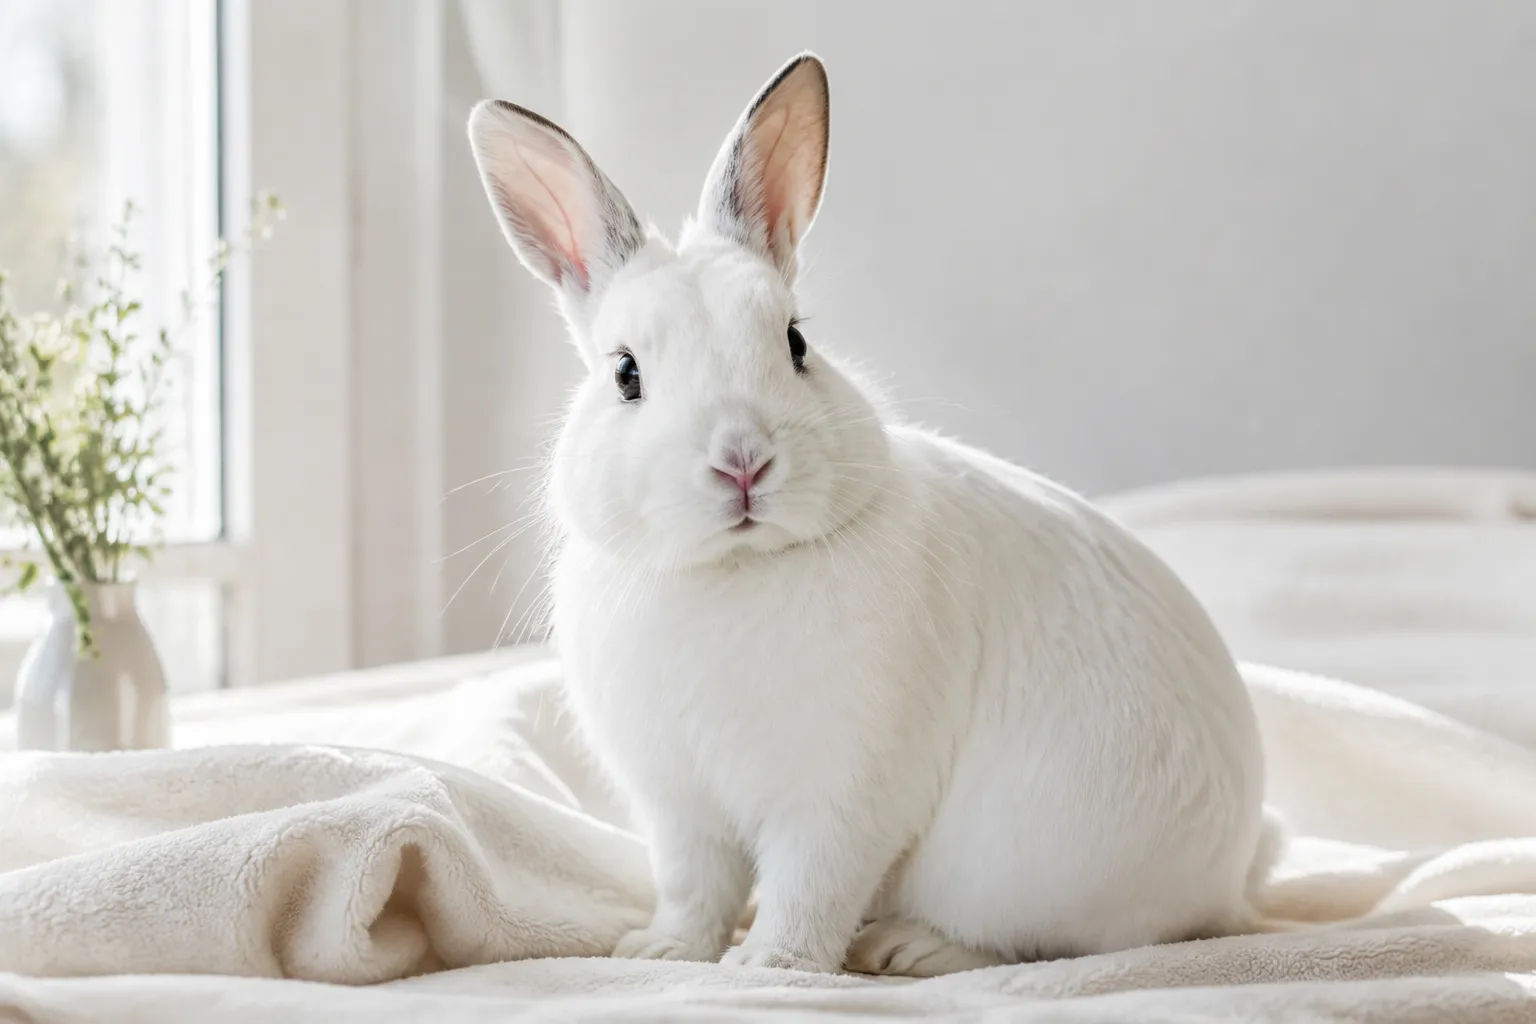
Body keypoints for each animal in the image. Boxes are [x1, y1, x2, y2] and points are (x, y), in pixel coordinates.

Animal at [466, 52, 1276, 977]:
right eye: (625, 374)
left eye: (795, 344)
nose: (743, 462)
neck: (733, 569)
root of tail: (1224, 888)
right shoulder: (681, 808)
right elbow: (696, 889)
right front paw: (663, 953)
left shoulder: (843, 797)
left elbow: (809, 886)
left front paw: (772, 966)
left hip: (1030, 874)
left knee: (1045, 945)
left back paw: (908, 950)